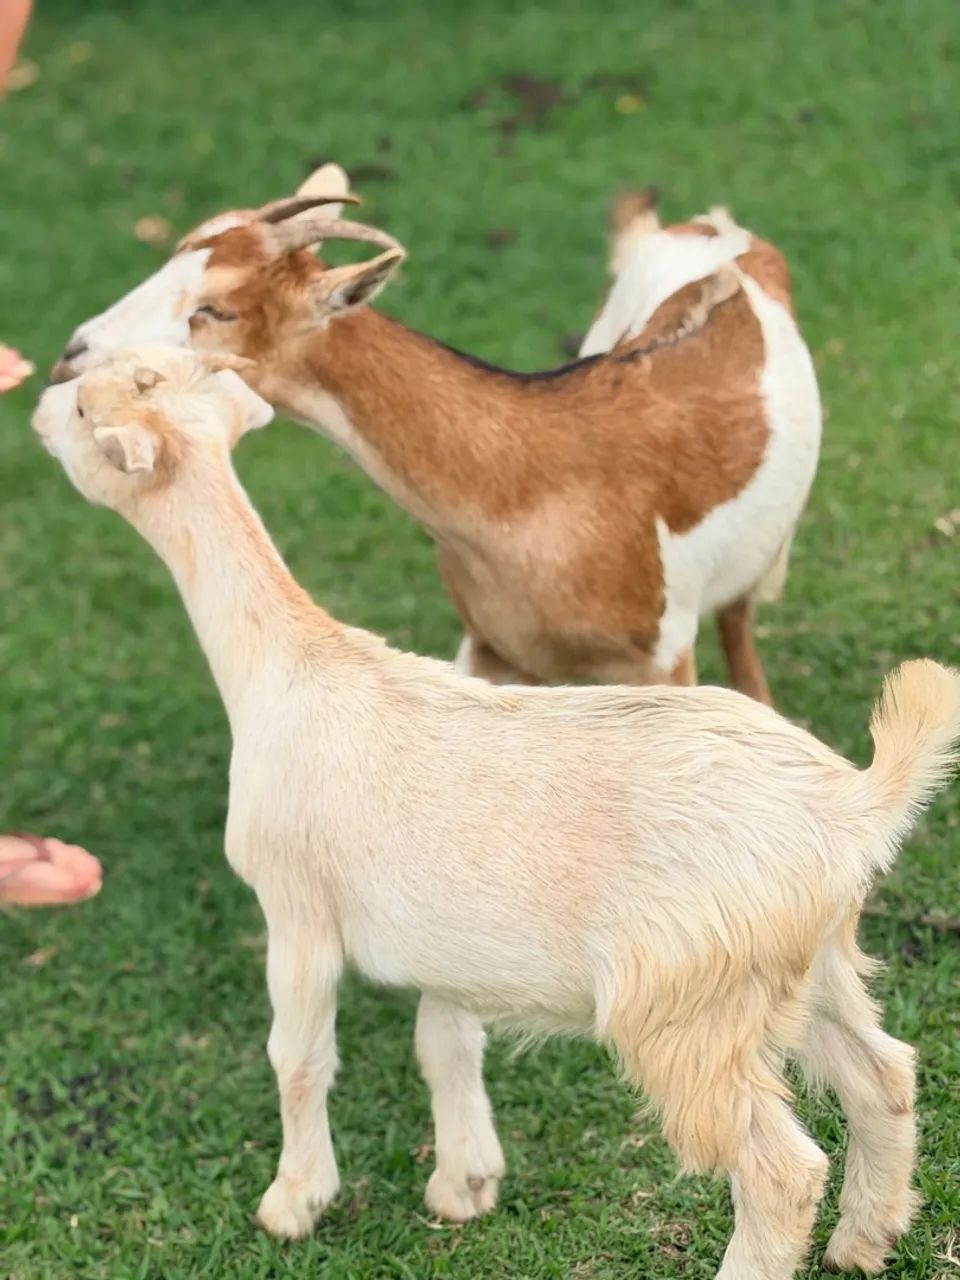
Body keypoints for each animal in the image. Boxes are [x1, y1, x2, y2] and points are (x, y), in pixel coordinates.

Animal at [34, 346, 958, 1279]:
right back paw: (864, 1240)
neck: (287, 667)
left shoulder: (295, 909)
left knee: (779, 1168)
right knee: (885, 1073)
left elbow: (297, 1057)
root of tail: (850, 804)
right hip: (809, 966)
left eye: (82, 411)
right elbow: (445, 1043)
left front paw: (293, 1203)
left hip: (690, 1005)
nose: (41, 403)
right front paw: (465, 1183)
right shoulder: (449, 947)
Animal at [51, 166, 822, 705]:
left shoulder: (662, 659)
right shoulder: (490, 645)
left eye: (217, 309)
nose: (72, 351)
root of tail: (713, 231)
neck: (532, 483)